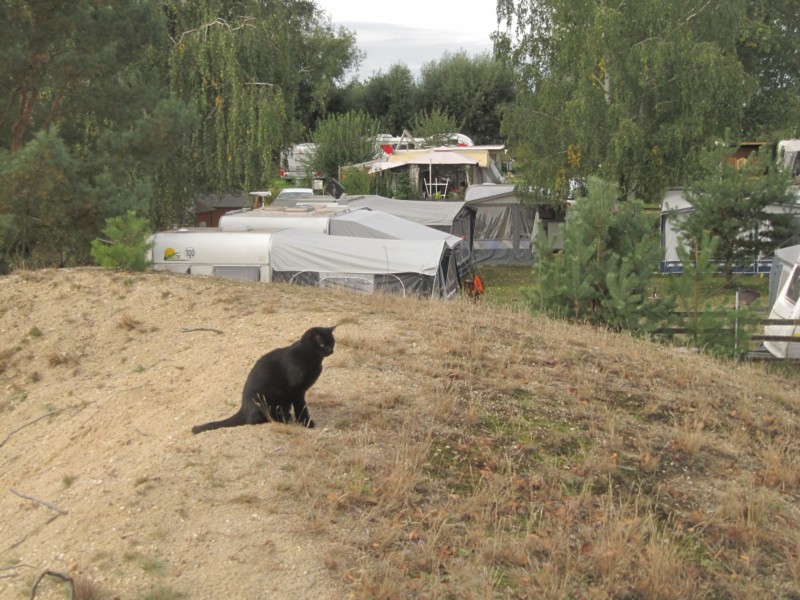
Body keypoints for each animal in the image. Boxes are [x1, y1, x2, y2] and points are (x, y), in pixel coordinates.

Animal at [192, 326, 336, 434]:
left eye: (332, 343)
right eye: (322, 344)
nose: (331, 350)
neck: (313, 359)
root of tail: (243, 408)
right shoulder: (296, 390)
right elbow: (301, 407)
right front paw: (307, 423)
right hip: (271, 395)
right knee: (253, 420)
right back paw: (283, 419)